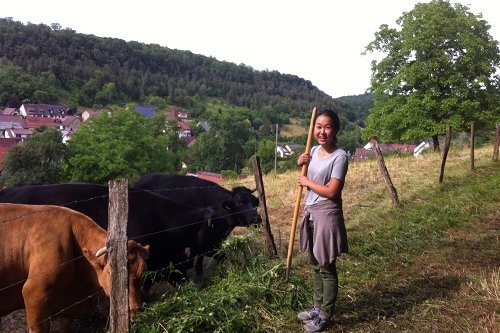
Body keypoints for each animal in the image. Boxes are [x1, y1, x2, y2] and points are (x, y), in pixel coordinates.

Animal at [135, 172, 264, 276]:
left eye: (254, 202)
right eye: (240, 203)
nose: (257, 218)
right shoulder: (198, 238)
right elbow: (199, 256)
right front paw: (199, 273)